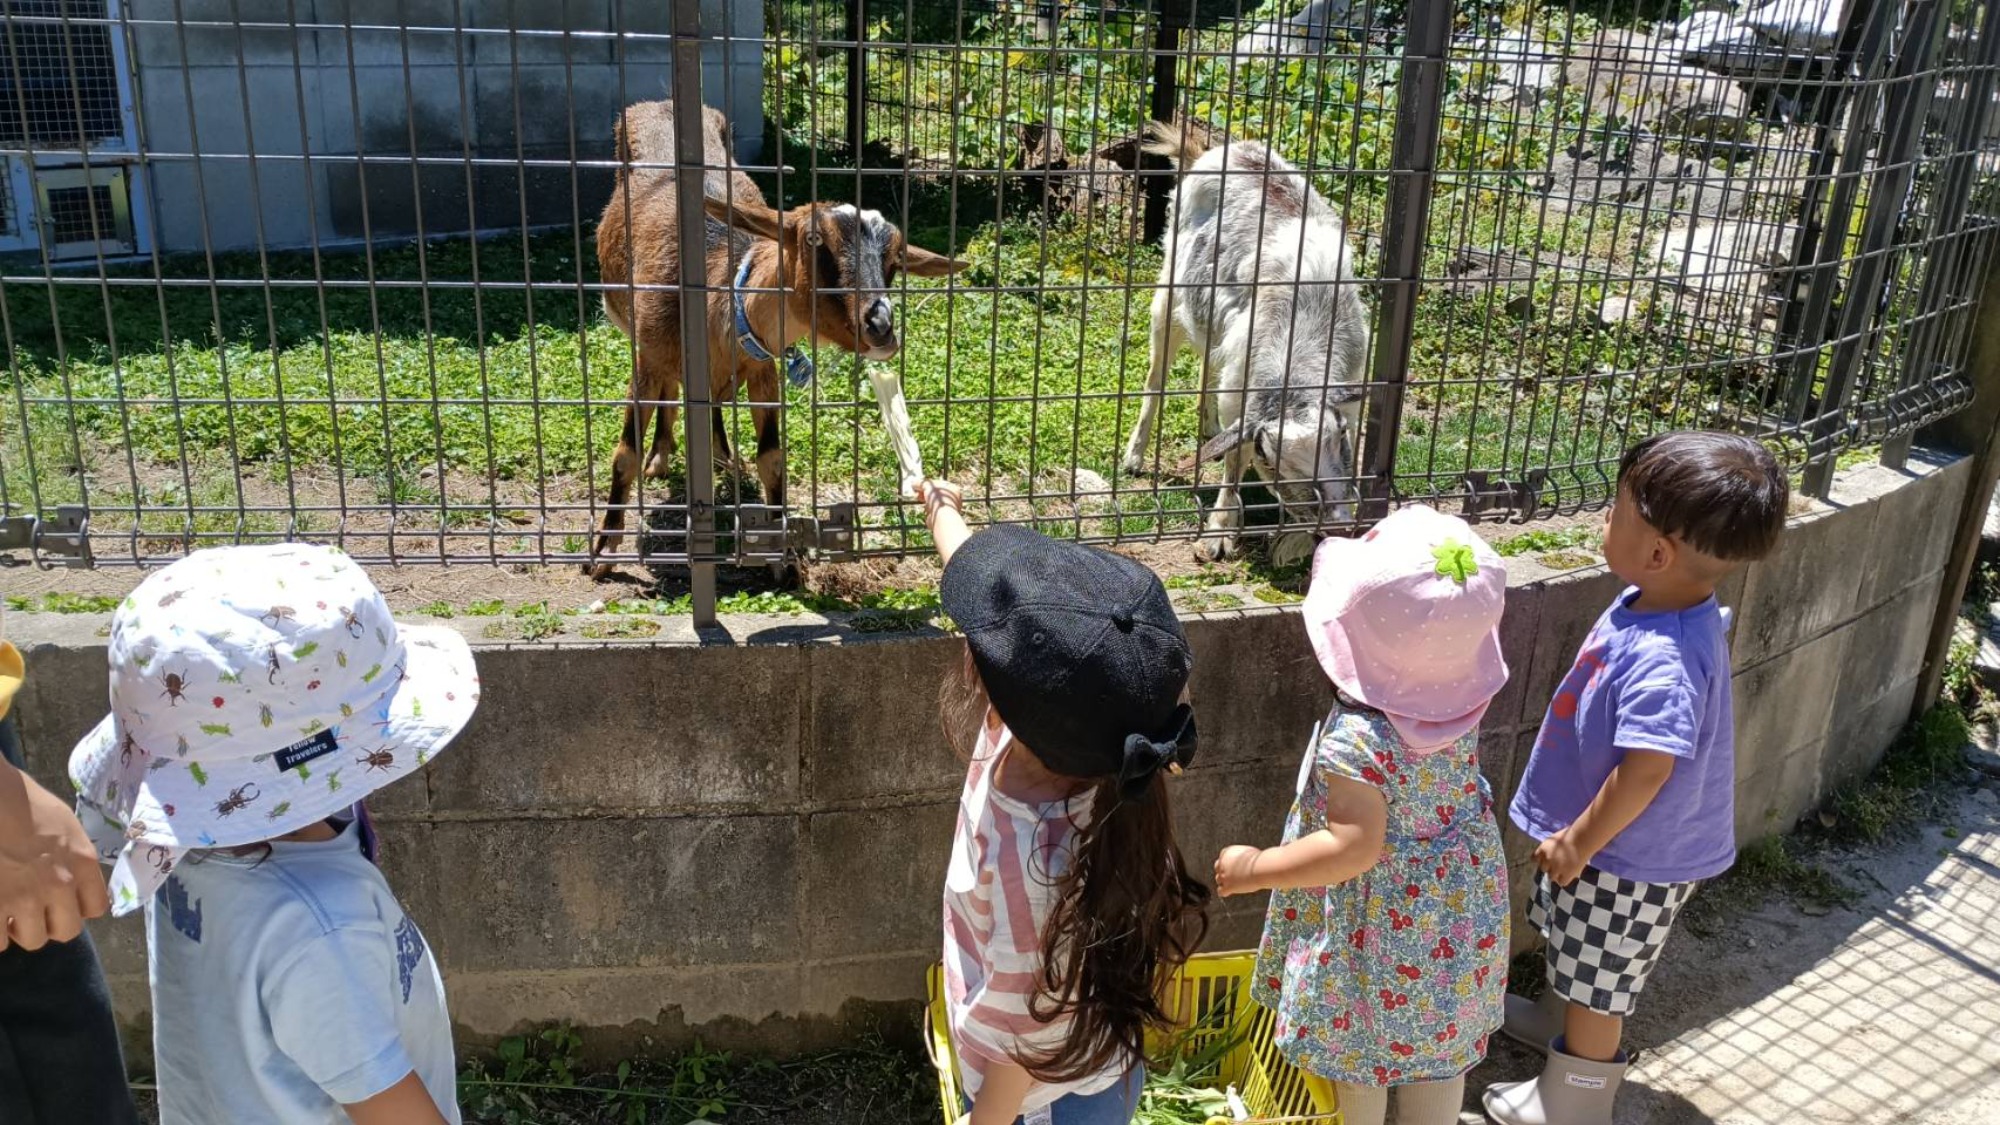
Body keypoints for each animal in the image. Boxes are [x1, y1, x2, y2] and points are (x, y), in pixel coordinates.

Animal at [584, 99, 968, 572]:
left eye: (896, 260)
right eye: (813, 239)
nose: (880, 326)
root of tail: (661, 105)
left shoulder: (763, 368)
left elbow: (772, 459)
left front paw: (779, 555)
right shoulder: (650, 355)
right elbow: (625, 455)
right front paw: (603, 550)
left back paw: (717, 453)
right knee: (671, 394)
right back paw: (663, 454)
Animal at [1120, 118, 1368, 564]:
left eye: (1339, 439)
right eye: (1272, 460)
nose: (1340, 523)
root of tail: (1217, 152)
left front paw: (1294, 543)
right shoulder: (1241, 391)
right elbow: (1235, 461)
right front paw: (1218, 534)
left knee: (1207, 361)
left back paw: (1208, 429)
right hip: (1169, 295)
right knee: (1155, 378)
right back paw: (1134, 456)